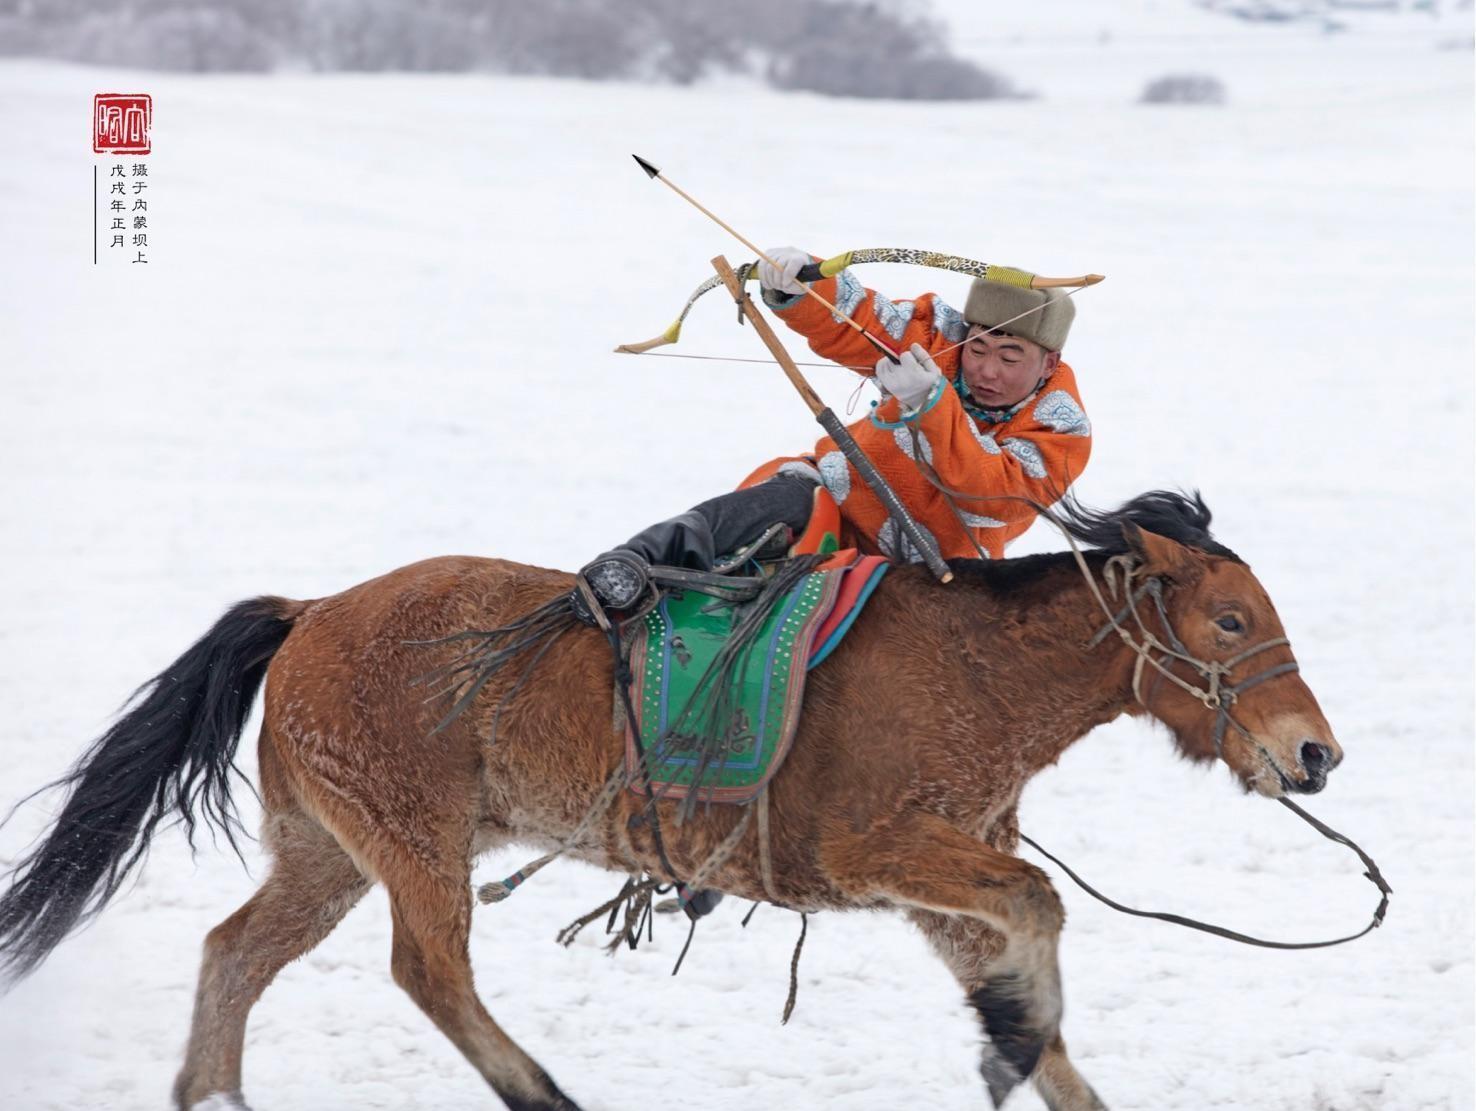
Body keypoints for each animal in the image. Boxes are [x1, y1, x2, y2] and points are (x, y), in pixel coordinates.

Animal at [0, 492, 1346, 1109]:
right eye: (1233, 621)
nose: (1315, 753)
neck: (975, 668)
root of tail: (314, 609)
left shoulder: (940, 888)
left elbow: (1033, 987)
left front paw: (1013, 1039)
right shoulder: (880, 851)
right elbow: (1044, 908)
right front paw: (1010, 1038)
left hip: (325, 853)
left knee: (234, 953)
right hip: (414, 847)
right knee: (428, 972)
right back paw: (539, 1089)